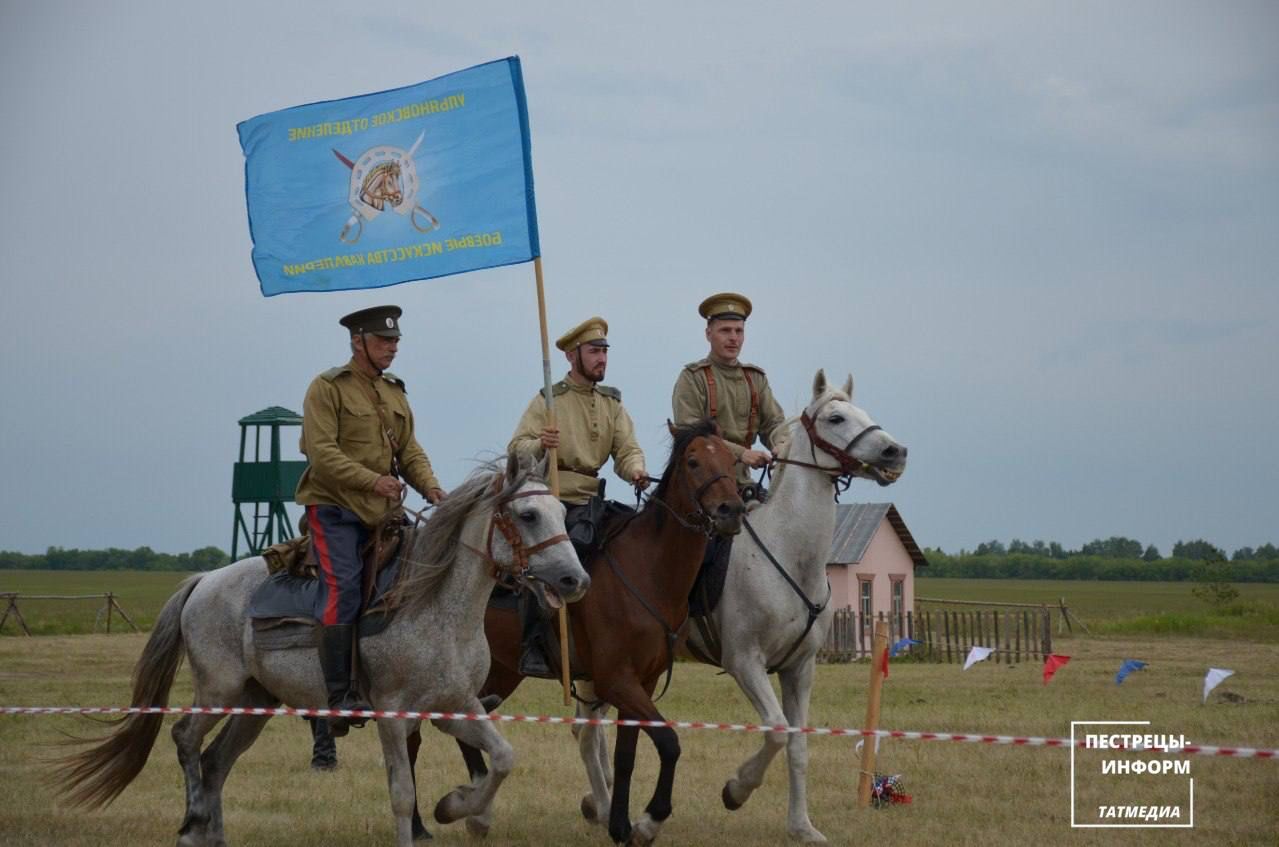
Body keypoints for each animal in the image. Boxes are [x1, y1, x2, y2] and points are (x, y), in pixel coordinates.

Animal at [54, 458, 585, 847]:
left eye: (562, 513)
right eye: (528, 515)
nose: (573, 579)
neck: (435, 606)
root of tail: (205, 581)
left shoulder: (455, 708)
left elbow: (504, 757)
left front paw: (457, 808)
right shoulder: (393, 715)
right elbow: (401, 793)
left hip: (256, 703)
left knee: (216, 760)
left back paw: (215, 833)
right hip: (218, 689)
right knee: (185, 738)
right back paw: (192, 823)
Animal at [411, 422, 741, 844]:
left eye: (731, 459)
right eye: (694, 461)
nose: (731, 510)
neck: (647, 571)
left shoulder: (642, 682)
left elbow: (626, 755)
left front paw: (621, 825)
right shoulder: (617, 680)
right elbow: (669, 743)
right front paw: (648, 820)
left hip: (500, 672)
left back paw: (474, 806)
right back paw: (445, 817)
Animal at [575, 371, 905, 844]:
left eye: (863, 411)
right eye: (836, 418)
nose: (895, 452)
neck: (789, 553)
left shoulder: (800, 668)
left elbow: (798, 745)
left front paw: (802, 826)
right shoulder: (745, 661)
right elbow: (777, 730)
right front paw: (736, 789)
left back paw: (597, 803)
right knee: (587, 731)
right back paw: (603, 809)